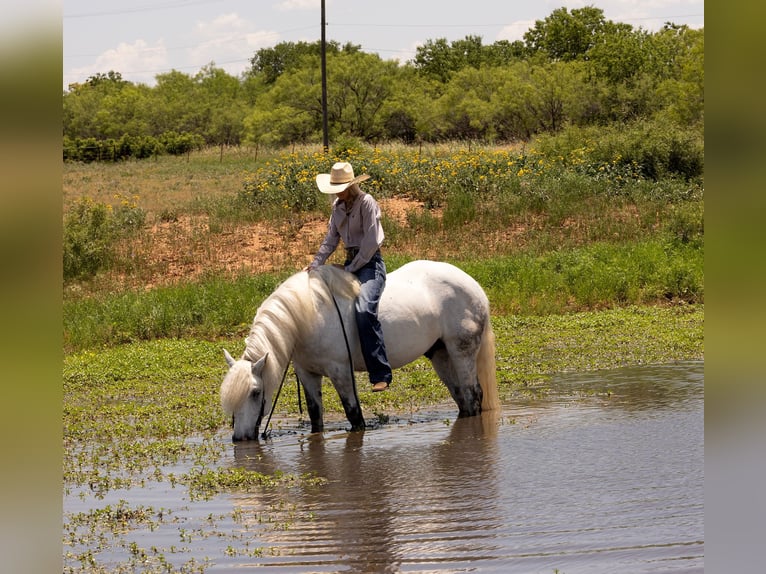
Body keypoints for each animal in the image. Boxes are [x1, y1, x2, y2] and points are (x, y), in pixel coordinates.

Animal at [220, 262, 504, 446]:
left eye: (255, 392)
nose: (239, 437)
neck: (307, 316)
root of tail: (474, 286)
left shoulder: (340, 371)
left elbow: (354, 415)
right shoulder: (307, 373)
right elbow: (315, 416)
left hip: (461, 351)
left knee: (472, 395)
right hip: (441, 355)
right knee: (462, 399)